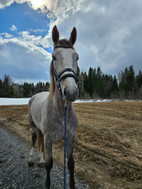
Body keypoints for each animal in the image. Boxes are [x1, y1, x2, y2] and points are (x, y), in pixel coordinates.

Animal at [27, 25, 79, 189]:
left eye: (77, 57)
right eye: (54, 57)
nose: (70, 91)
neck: (61, 112)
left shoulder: (70, 138)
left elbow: (71, 164)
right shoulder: (50, 139)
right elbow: (50, 164)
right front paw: (47, 183)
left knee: (40, 141)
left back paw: (40, 160)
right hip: (32, 125)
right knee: (34, 139)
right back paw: (31, 159)